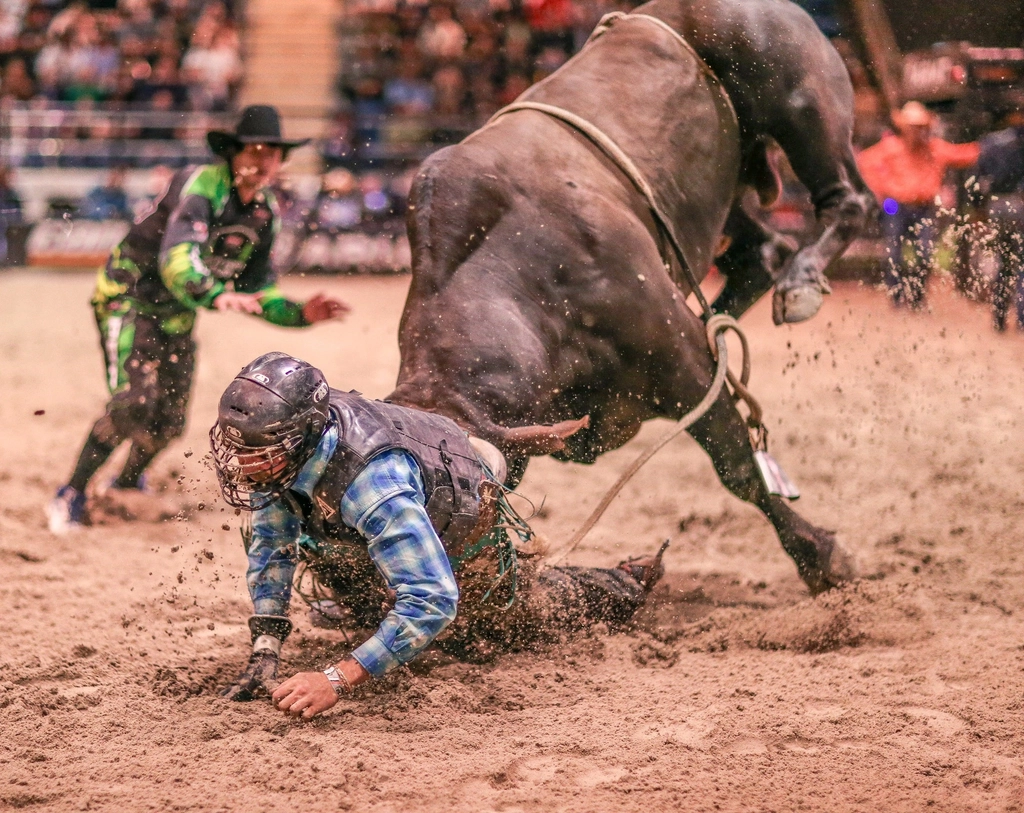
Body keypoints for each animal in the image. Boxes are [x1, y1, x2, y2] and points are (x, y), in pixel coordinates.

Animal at [387, 1, 868, 593]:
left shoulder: (685, 365)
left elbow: (740, 466)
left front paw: (821, 555)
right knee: (762, 249)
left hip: (800, 103)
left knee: (847, 199)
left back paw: (801, 281)